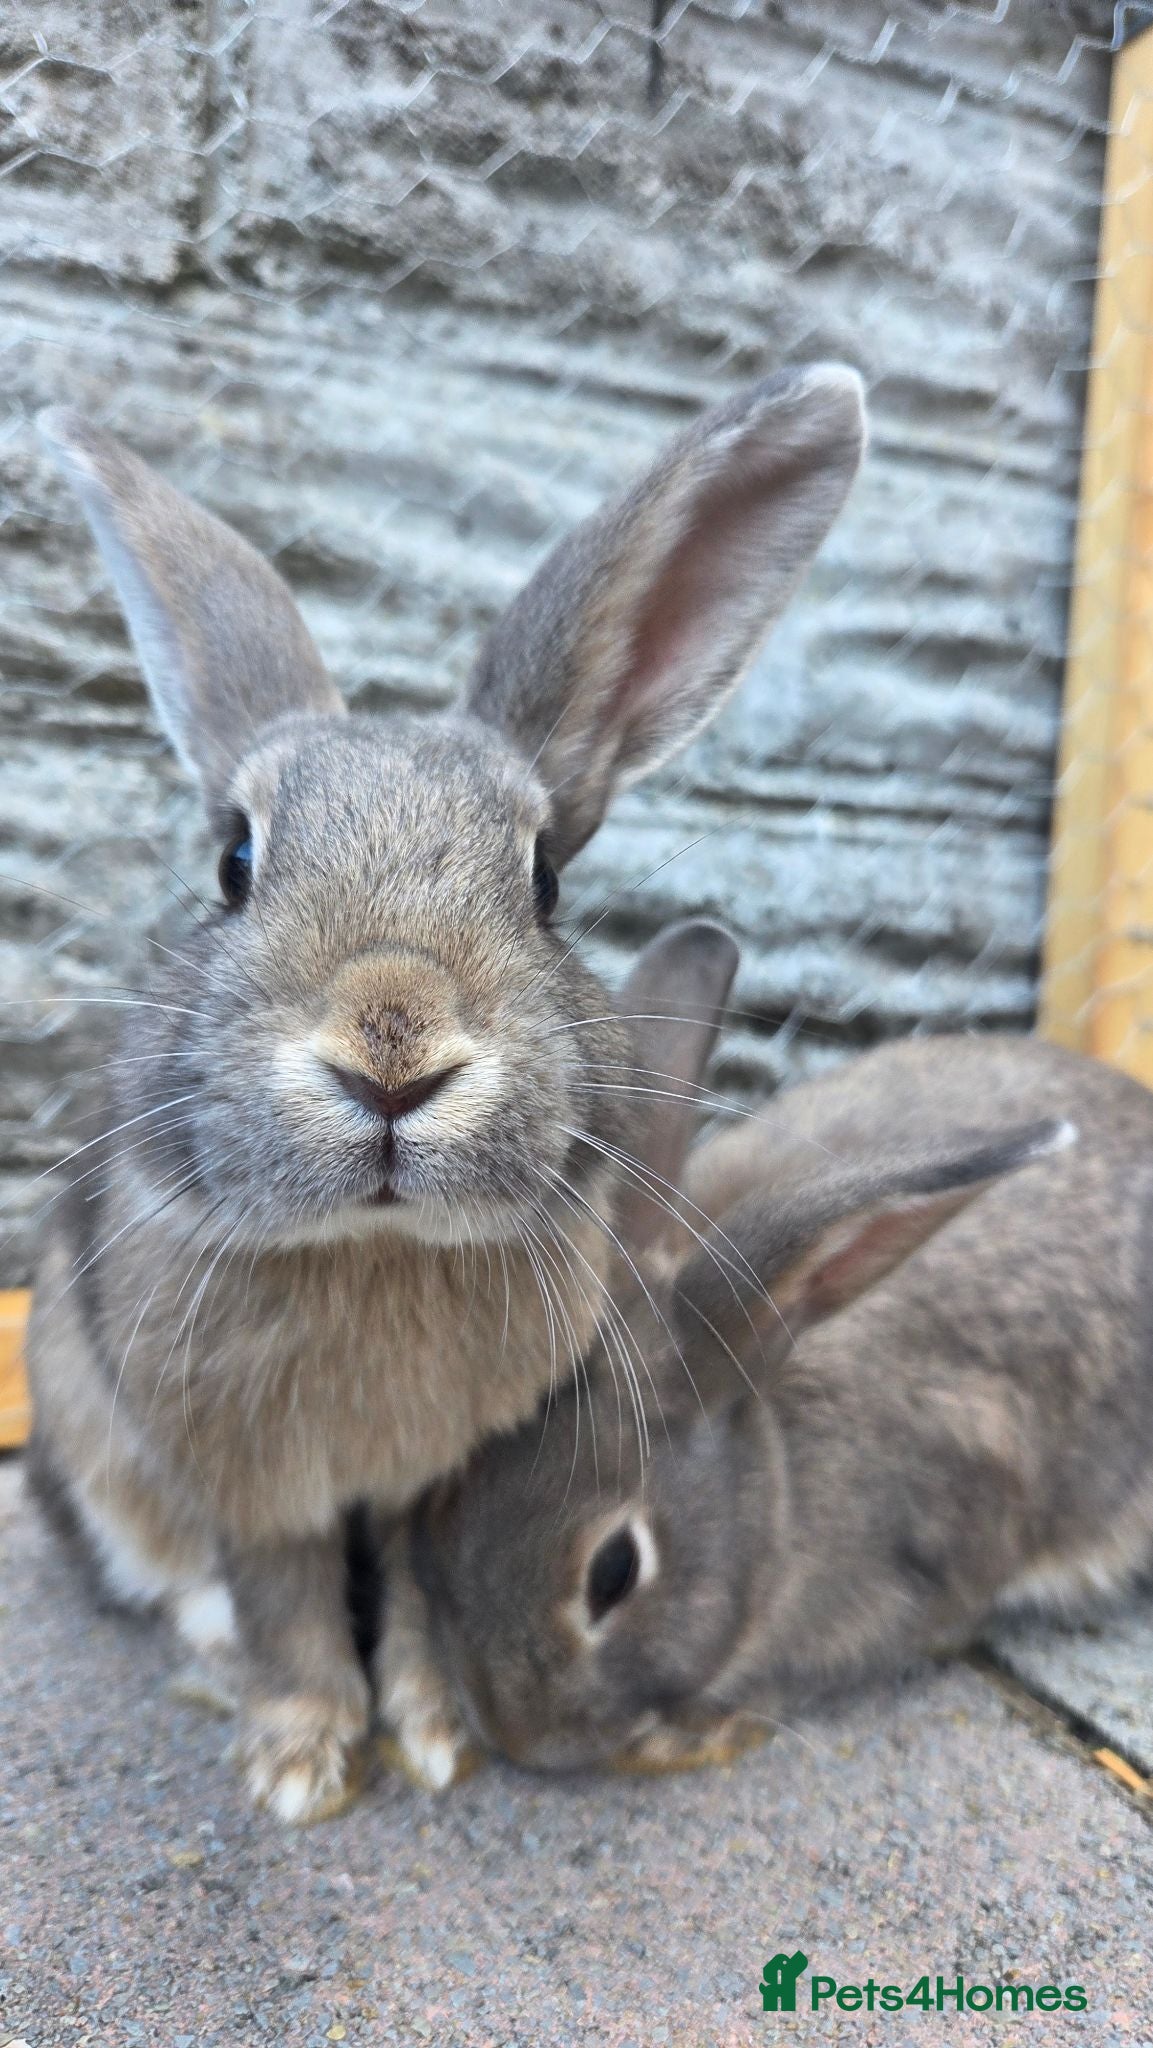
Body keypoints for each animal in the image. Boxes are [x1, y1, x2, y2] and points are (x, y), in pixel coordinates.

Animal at [22, 363, 863, 1822]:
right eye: (235, 861)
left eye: (546, 882)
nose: (391, 1046)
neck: (376, 1246)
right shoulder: (251, 1475)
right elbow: (282, 1596)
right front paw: (298, 1764)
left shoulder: (434, 1482)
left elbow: (413, 1596)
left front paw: (427, 1736)